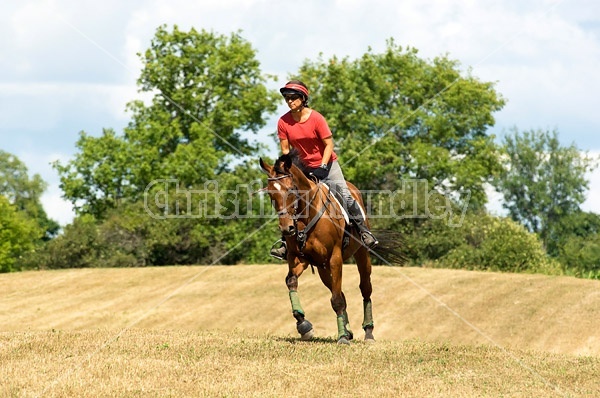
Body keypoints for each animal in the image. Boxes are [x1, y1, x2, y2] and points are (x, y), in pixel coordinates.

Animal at [258, 151, 372, 344]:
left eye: (291, 190)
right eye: (271, 194)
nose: (287, 229)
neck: (306, 215)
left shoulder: (335, 258)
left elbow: (336, 300)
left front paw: (342, 338)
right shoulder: (298, 257)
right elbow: (291, 282)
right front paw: (304, 326)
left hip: (361, 254)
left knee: (364, 288)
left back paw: (368, 332)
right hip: (322, 268)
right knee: (339, 292)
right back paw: (348, 330)